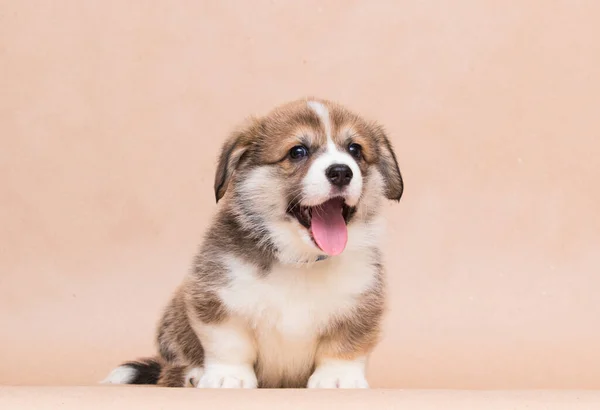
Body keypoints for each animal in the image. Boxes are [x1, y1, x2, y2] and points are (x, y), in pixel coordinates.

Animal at [103, 97, 404, 390]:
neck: (300, 260)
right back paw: (192, 375)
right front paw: (227, 377)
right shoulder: (217, 299)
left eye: (355, 150)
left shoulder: (360, 305)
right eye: (298, 152)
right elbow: (229, 344)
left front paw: (338, 378)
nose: (341, 171)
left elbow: (345, 346)